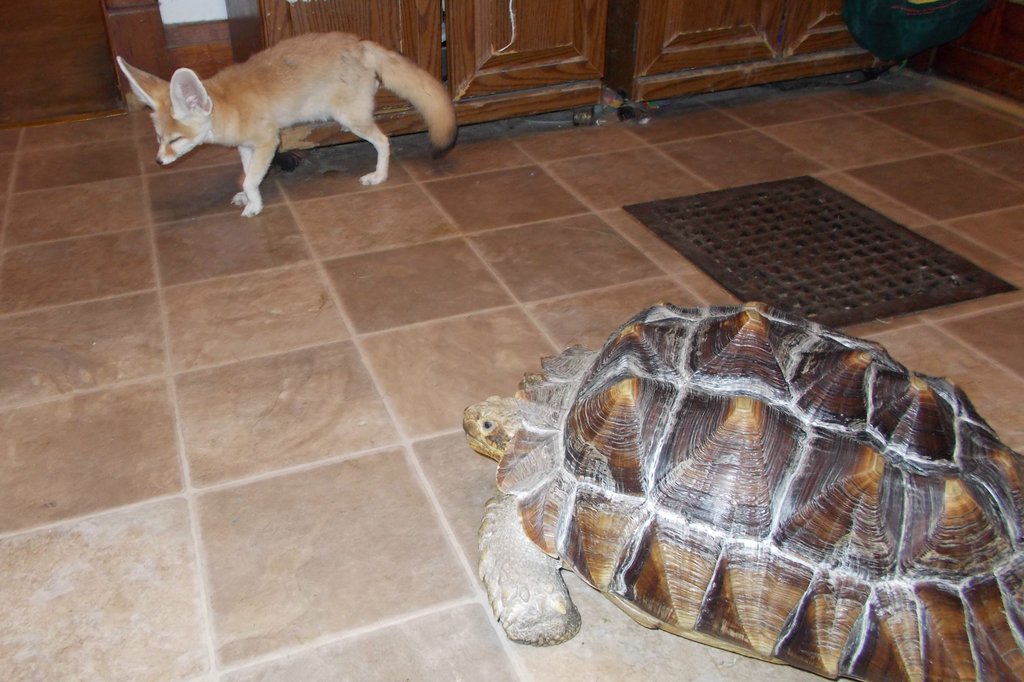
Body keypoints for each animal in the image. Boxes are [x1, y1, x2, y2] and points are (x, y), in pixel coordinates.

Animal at [117, 32, 457, 217]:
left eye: (174, 140)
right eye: (159, 139)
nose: (158, 161)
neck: (228, 105)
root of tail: (359, 43)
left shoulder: (268, 140)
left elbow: (250, 178)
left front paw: (253, 205)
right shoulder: (247, 146)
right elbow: (248, 175)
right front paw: (249, 197)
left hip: (352, 118)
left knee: (385, 141)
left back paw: (379, 175)